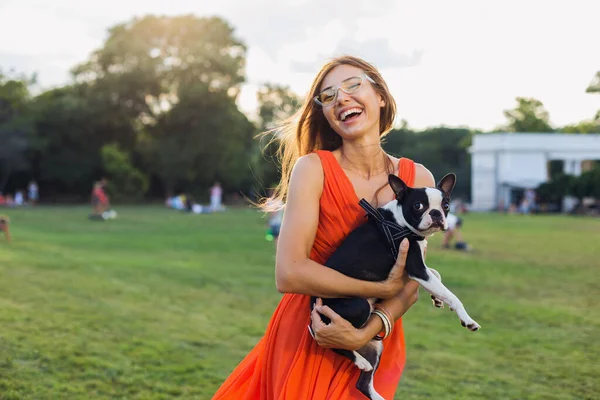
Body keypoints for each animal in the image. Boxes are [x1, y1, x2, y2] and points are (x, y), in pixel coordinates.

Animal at [312, 174, 480, 400]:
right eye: (418, 206)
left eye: (446, 205)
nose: (436, 213)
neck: (398, 222)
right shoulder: (417, 268)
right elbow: (450, 293)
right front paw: (466, 318)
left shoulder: (418, 269)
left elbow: (437, 275)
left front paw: (436, 298)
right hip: (355, 308)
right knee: (332, 343)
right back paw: (358, 360)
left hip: (376, 347)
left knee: (363, 384)